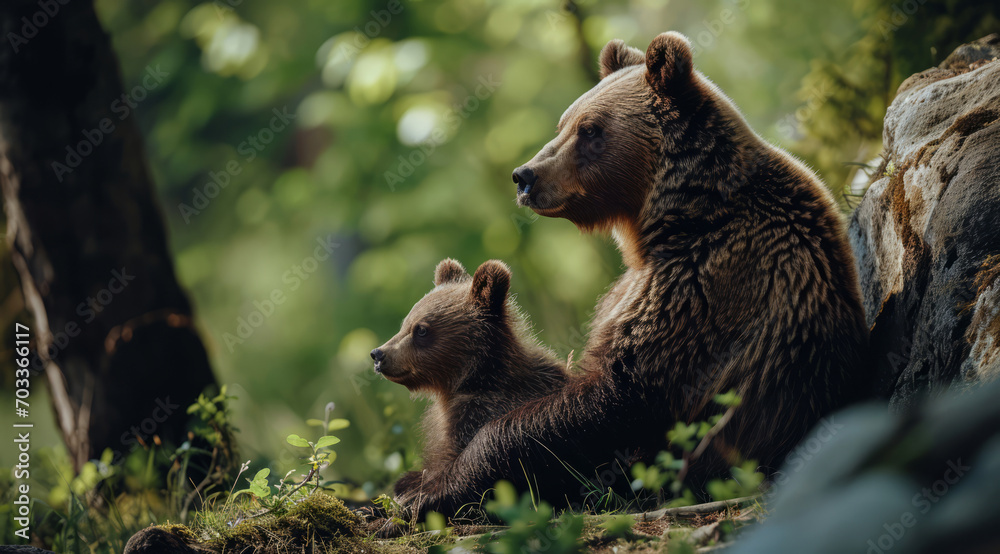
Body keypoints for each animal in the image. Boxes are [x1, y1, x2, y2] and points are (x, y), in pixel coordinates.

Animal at [395, 31, 871, 519]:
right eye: (564, 123)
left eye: (590, 129)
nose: (525, 176)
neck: (674, 220)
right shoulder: (635, 285)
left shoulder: (702, 286)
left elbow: (615, 398)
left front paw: (430, 491)